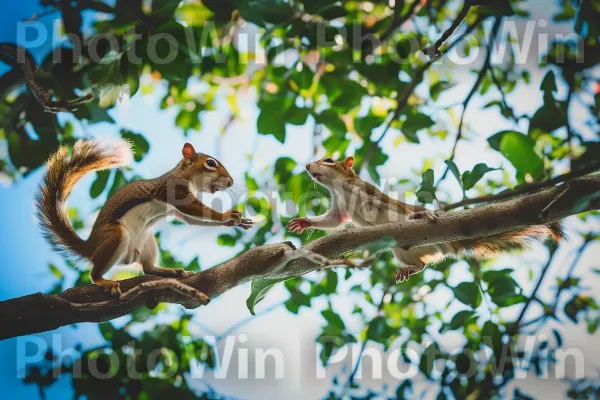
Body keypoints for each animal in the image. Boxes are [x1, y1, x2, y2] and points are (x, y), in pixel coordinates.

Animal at [37, 139, 253, 296]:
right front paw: (227, 215)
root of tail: (90, 246)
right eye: (210, 163)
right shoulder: (174, 191)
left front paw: (235, 221)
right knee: (94, 273)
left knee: (147, 269)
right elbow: (193, 210)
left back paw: (172, 271)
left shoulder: (176, 209)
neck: (186, 177)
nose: (230, 181)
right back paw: (103, 281)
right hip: (115, 235)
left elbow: (191, 219)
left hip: (147, 240)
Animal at [288, 155, 564, 282]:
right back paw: (408, 269)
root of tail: (449, 245)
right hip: (401, 251)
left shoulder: (370, 194)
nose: (307, 166)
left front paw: (420, 212)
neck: (339, 189)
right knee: (422, 263)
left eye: (328, 160)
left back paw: (421, 215)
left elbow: (387, 205)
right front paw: (304, 222)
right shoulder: (339, 208)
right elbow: (334, 220)